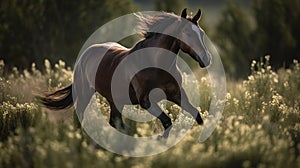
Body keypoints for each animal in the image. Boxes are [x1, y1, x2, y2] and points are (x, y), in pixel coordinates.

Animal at [39, 8, 212, 138]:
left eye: (202, 33)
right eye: (187, 33)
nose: (206, 58)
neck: (155, 64)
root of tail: (85, 54)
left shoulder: (177, 95)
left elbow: (197, 115)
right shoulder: (146, 101)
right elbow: (167, 121)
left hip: (115, 101)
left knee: (115, 123)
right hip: (83, 95)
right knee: (80, 118)